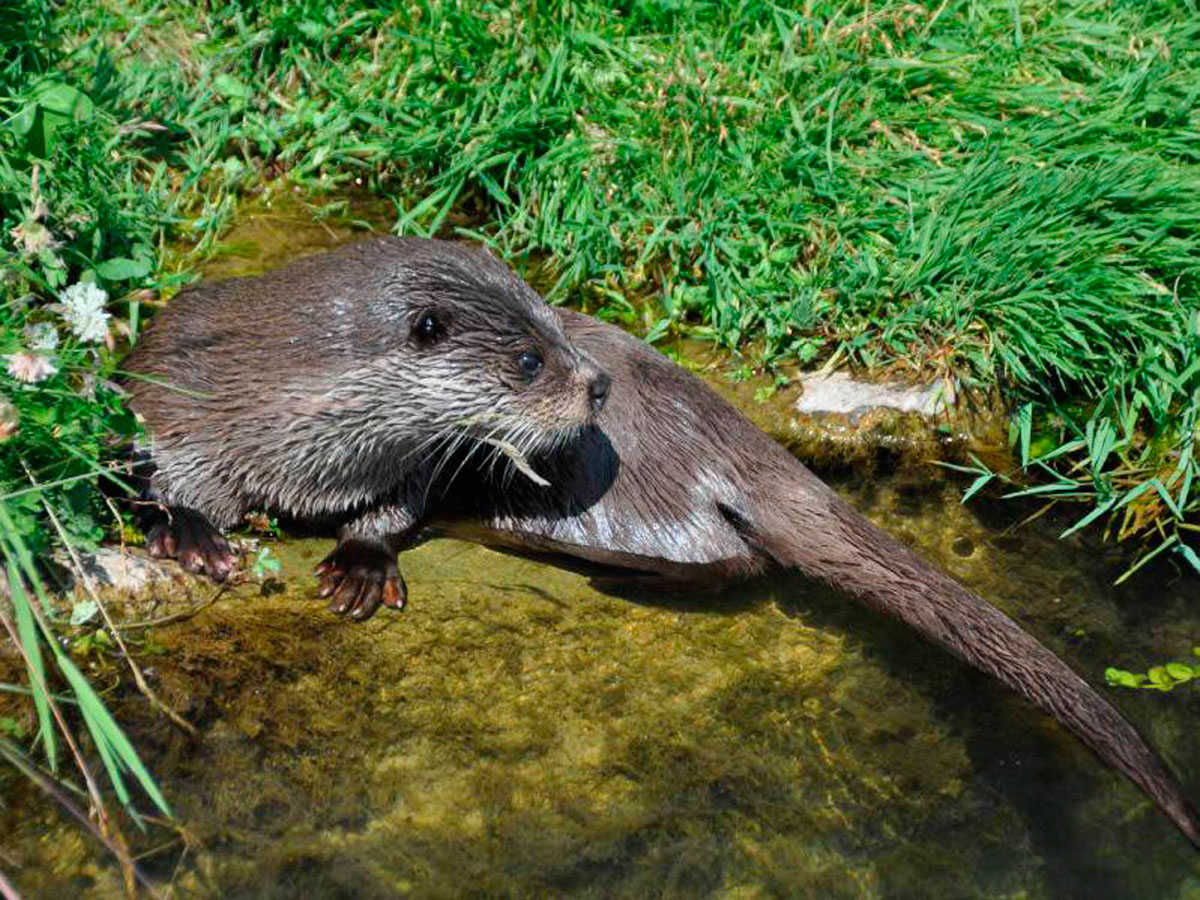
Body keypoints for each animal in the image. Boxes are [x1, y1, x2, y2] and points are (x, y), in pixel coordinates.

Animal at [121, 236, 1200, 849]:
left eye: (553, 329)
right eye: (528, 358)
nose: (594, 383)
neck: (300, 420)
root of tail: (736, 435)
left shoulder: (414, 463)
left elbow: (393, 510)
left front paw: (359, 564)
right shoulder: (171, 382)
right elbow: (159, 467)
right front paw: (190, 532)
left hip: (605, 491)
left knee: (729, 557)